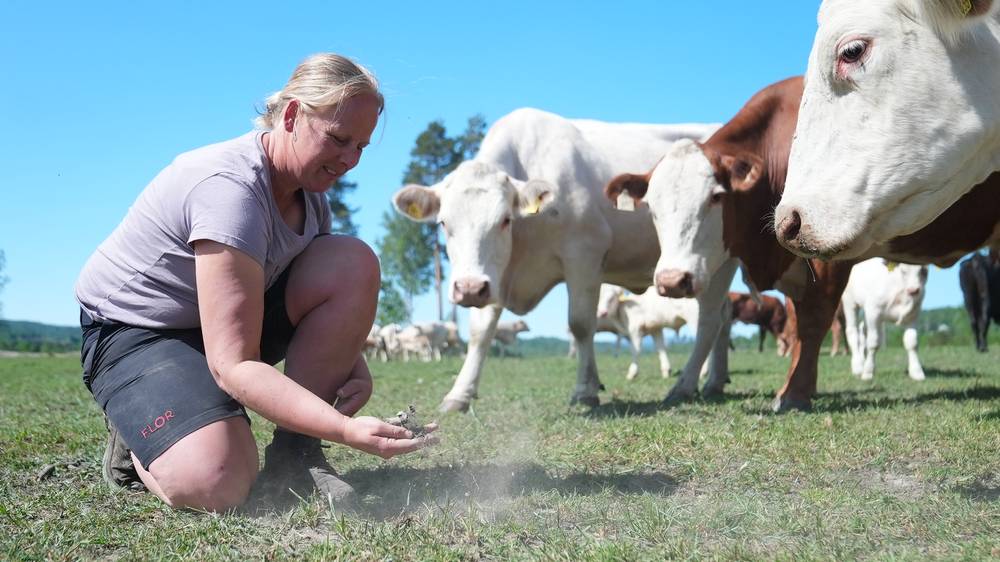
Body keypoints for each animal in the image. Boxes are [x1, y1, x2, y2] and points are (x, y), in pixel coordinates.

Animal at [390, 106, 720, 412]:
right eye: (443, 223)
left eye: (505, 220)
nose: (469, 288)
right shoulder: (496, 274)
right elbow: (480, 332)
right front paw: (459, 394)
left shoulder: (585, 253)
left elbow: (581, 324)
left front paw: (585, 391)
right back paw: (716, 380)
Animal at [600, 73, 1000, 406]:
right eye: (652, 207)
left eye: (715, 197)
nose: (671, 281)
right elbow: (796, 327)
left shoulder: (826, 252)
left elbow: (811, 321)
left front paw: (793, 393)